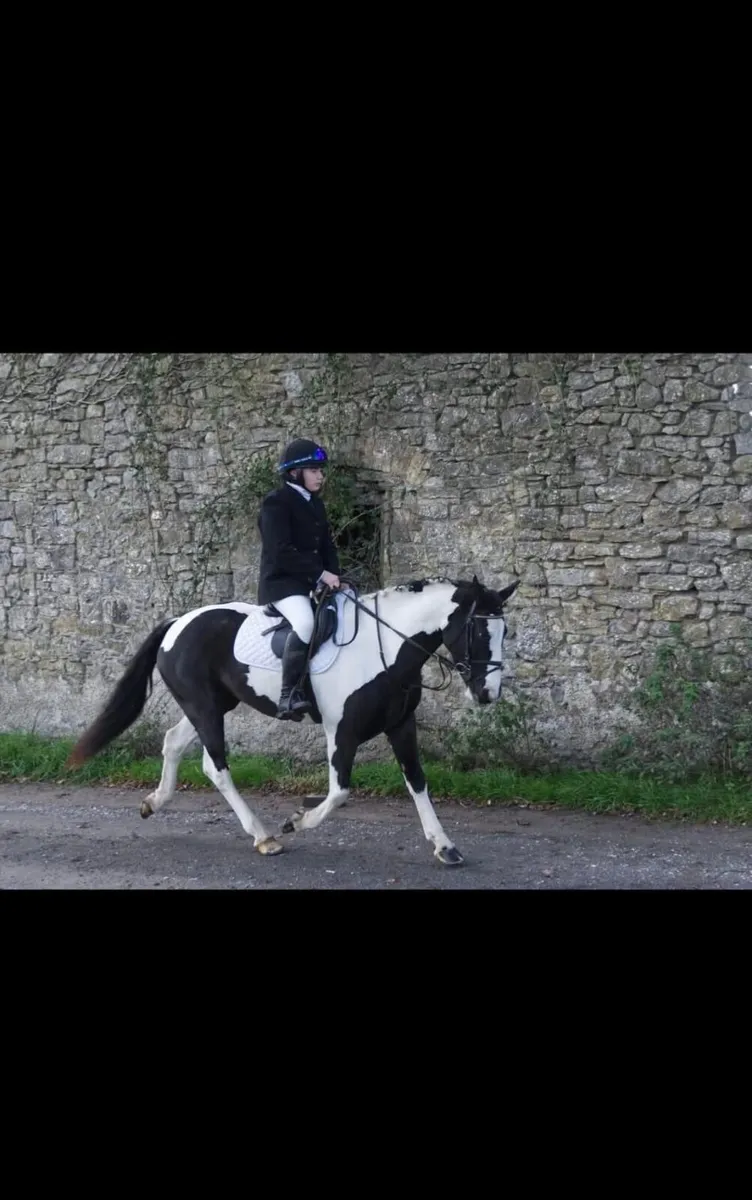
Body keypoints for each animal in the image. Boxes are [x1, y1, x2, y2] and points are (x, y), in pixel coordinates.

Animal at [67, 574, 519, 866]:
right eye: (480, 632)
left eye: (506, 632)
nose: (487, 694)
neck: (385, 650)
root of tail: (178, 622)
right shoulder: (342, 731)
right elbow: (339, 792)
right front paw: (296, 821)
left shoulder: (401, 725)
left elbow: (418, 784)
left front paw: (445, 847)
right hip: (205, 708)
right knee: (216, 766)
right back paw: (264, 837)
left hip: (211, 705)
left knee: (174, 743)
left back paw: (154, 801)